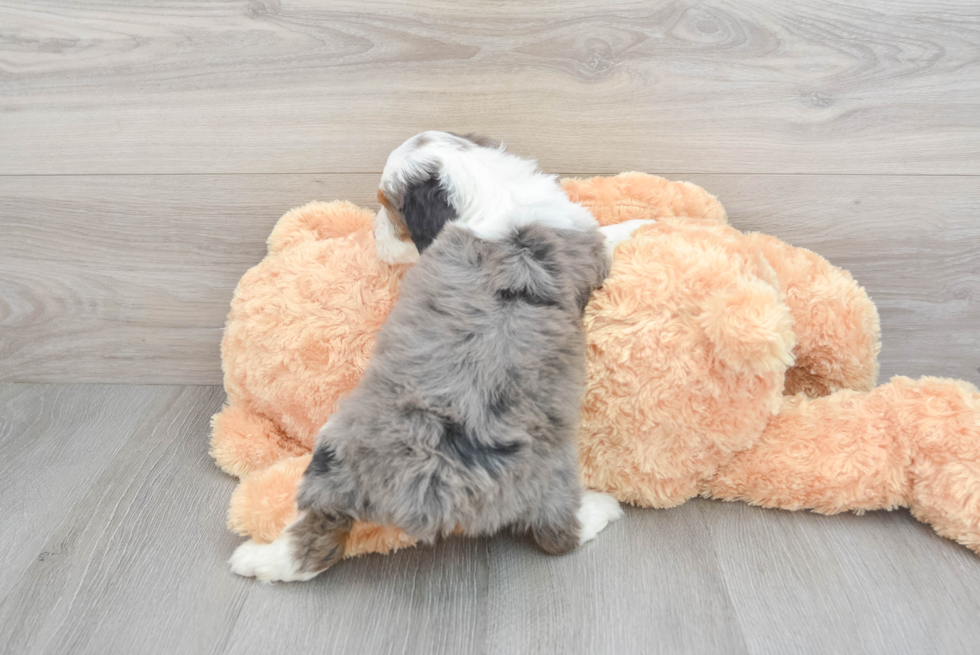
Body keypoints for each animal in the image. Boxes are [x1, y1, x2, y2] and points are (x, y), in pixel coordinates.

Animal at [230, 222, 628, 584]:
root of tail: (424, 484)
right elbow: (607, 236)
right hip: (549, 473)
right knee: (557, 533)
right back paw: (601, 509)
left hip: (331, 454)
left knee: (313, 543)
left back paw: (257, 560)